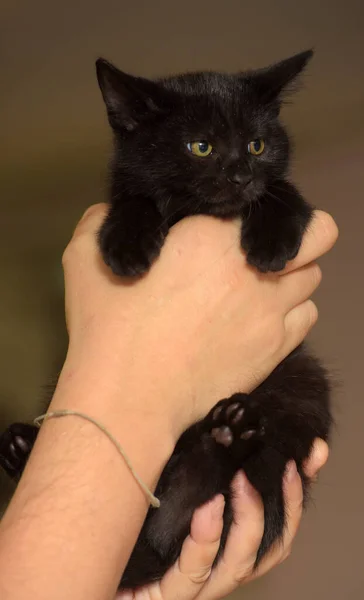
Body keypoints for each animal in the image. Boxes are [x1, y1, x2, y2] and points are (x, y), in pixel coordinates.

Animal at [0, 49, 332, 588]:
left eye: (257, 145)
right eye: (201, 147)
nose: (241, 175)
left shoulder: (284, 193)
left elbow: (285, 193)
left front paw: (270, 244)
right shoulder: (124, 190)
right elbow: (133, 198)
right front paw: (126, 247)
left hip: (300, 385)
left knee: (172, 519)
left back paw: (227, 433)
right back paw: (20, 446)